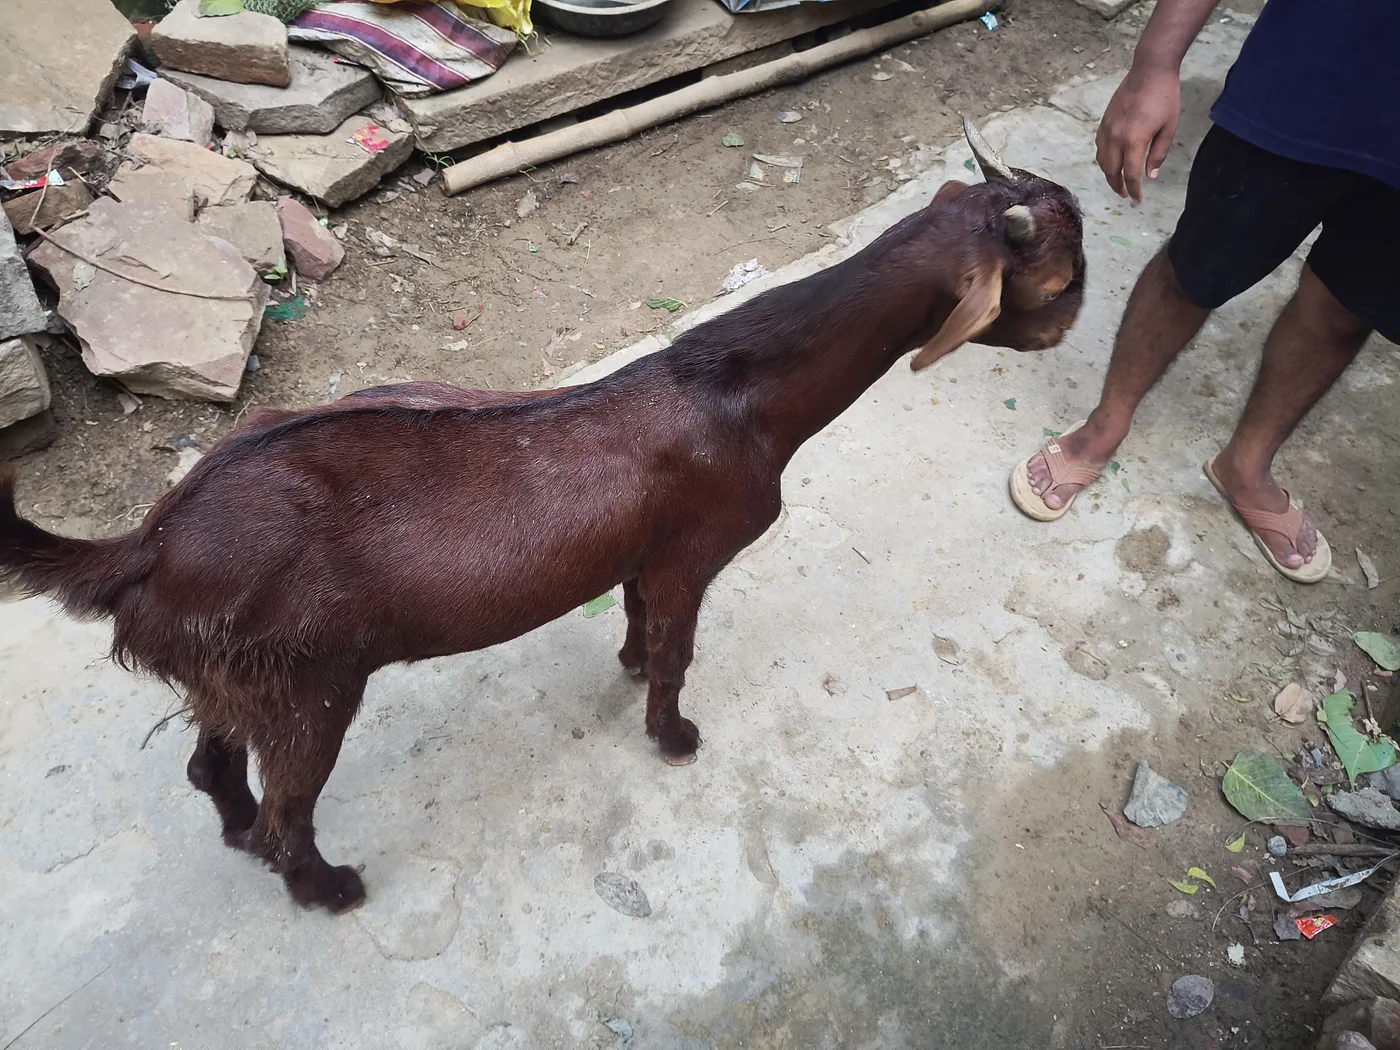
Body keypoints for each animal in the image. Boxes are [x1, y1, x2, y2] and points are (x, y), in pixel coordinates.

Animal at [0, 120, 1084, 913]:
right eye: (1063, 277)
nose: (1072, 325)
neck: (735, 396)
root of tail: (150, 545)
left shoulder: (644, 554)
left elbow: (640, 619)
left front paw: (629, 667)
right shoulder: (693, 552)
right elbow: (680, 649)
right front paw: (672, 735)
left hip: (232, 672)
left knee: (209, 765)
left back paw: (238, 839)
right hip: (308, 680)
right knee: (288, 804)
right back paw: (321, 886)